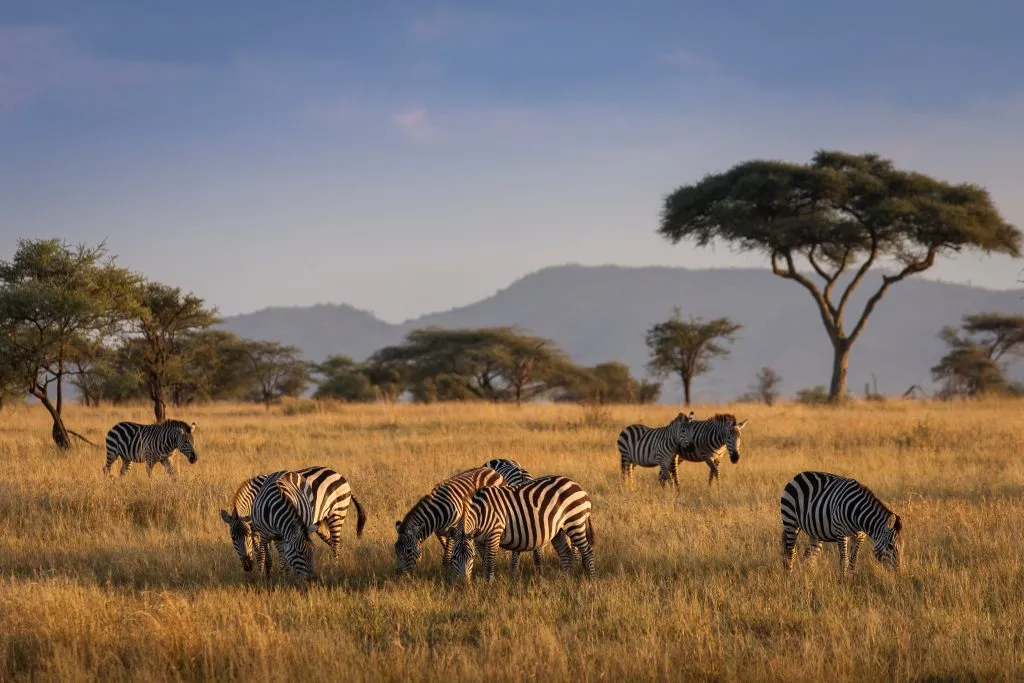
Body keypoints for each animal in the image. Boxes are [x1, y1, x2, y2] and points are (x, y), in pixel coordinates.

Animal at [220, 465, 367, 575]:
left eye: (243, 536)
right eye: (233, 538)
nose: (247, 566)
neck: (254, 498)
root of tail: (338, 474)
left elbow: (265, 554)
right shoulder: (258, 531)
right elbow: (263, 555)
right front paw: (266, 574)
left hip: (337, 513)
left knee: (335, 543)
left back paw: (334, 569)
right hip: (321, 523)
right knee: (332, 542)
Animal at [452, 474, 595, 583]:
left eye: (471, 556)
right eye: (453, 557)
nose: (463, 584)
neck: (481, 512)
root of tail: (579, 487)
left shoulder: (495, 533)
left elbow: (491, 559)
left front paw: (489, 583)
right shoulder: (479, 540)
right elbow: (485, 560)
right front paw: (483, 579)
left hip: (575, 523)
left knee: (587, 552)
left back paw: (592, 580)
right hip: (558, 532)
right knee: (566, 554)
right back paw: (563, 580)